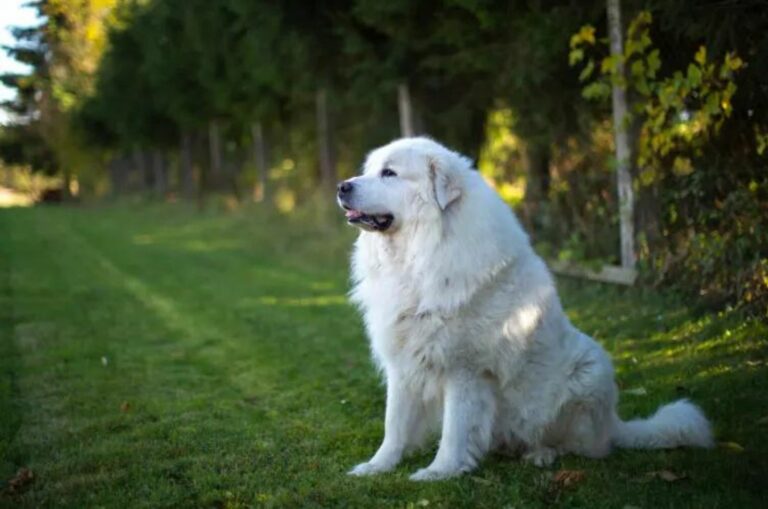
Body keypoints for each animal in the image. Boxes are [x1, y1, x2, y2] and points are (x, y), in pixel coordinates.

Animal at [336, 136, 712, 480]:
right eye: (369, 170)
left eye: (389, 173)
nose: (342, 186)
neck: (421, 254)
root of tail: (613, 423)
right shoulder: (403, 362)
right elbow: (395, 424)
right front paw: (377, 466)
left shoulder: (465, 370)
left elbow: (455, 429)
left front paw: (440, 471)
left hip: (589, 371)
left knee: (584, 448)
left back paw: (542, 455)